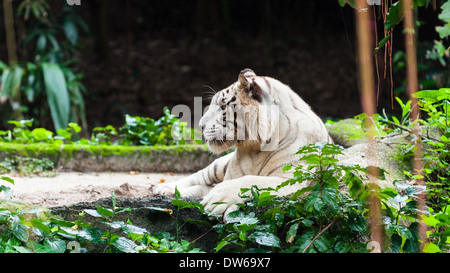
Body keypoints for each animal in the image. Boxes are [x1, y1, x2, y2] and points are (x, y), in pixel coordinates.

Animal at [153, 68, 332, 217]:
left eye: (222, 106)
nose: (201, 125)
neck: (254, 149)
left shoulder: (291, 180)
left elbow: (251, 180)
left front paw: (217, 199)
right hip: (219, 165)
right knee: (198, 177)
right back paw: (165, 189)